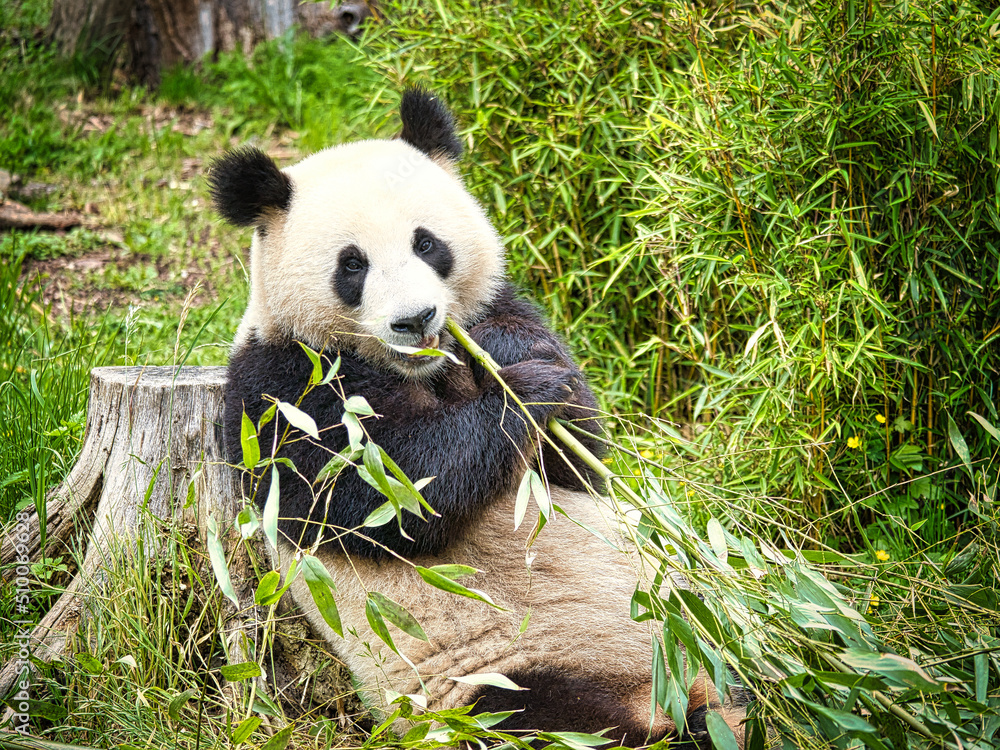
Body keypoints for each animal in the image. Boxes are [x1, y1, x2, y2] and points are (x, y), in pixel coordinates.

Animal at [210, 90, 747, 748]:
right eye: (352, 265)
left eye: (427, 243)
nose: (415, 319)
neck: (417, 368)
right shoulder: (282, 386)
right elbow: (386, 492)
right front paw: (525, 394)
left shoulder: (497, 317)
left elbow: (577, 458)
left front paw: (517, 361)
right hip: (495, 684)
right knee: (552, 721)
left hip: (699, 629)